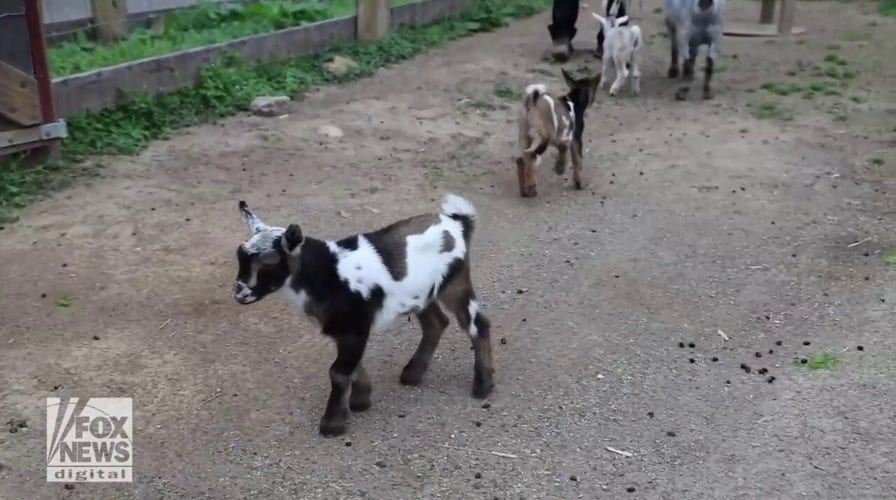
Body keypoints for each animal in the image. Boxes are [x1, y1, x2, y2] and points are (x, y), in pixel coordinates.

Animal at [233, 194, 495, 437]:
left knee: (477, 324)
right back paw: (412, 374)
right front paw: (361, 400)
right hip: (423, 293)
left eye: (269, 262)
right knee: (436, 323)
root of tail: (459, 222)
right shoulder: (343, 329)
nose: (240, 294)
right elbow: (351, 365)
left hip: (456, 282)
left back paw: (483, 386)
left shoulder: (354, 326)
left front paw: (333, 423)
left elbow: (338, 372)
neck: (327, 274)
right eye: (240, 256)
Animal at [514, 68, 601, 198]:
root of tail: (534, 100)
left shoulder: (560, 139)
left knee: (524, 158)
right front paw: (577, 181)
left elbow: (563, 149)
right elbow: (577, 161)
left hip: (525, 137)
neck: (574, 101)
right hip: (543, 137)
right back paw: (531, 186)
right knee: (531, 155)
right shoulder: (575, 140)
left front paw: (560, 166)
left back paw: (525, 189)